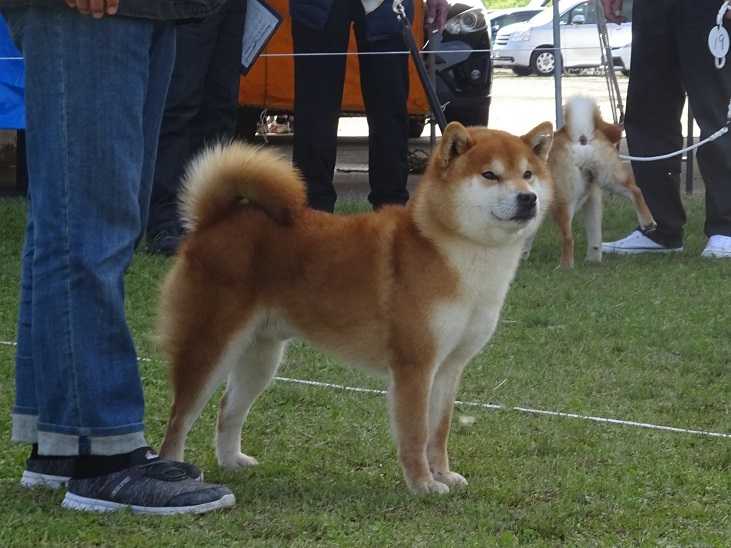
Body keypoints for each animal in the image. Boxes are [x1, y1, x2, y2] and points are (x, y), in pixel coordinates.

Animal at [157, 121, 554, 495]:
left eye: (528, 174)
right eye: (490, 175)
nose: (528, 198)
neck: (455, 251)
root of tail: (212, 222)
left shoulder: (448, 368)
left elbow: (438, 432)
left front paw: (443, 475)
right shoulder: (415, 366)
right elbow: (415, 434)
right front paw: (423, 485)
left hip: (260, 357)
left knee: (228, 409)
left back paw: (232, 461)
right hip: (209, 347)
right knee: (179, 418)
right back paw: (177, 472)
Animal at [537, 96, 656, 268]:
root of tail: (581, 138)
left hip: (561, 201)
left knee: (568, 238)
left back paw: (565, 266)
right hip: (607, 179)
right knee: (635, 191)